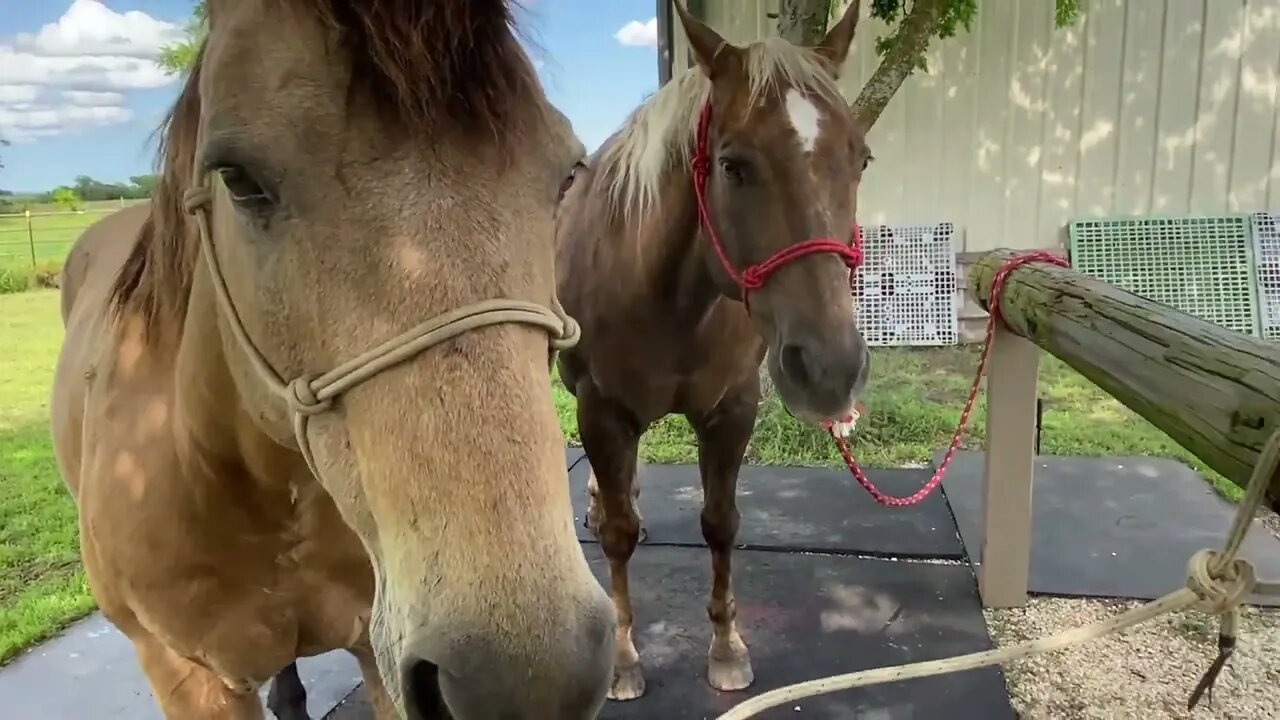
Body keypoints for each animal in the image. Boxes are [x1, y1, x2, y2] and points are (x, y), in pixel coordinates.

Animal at [555, 1, 875, 696]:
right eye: (732, 165)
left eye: (861, 158)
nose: (831, 369)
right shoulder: (602, 409)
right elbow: (618, 537)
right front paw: (623, 657)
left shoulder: (732, 410)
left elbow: (721, 524)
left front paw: (727, 648)